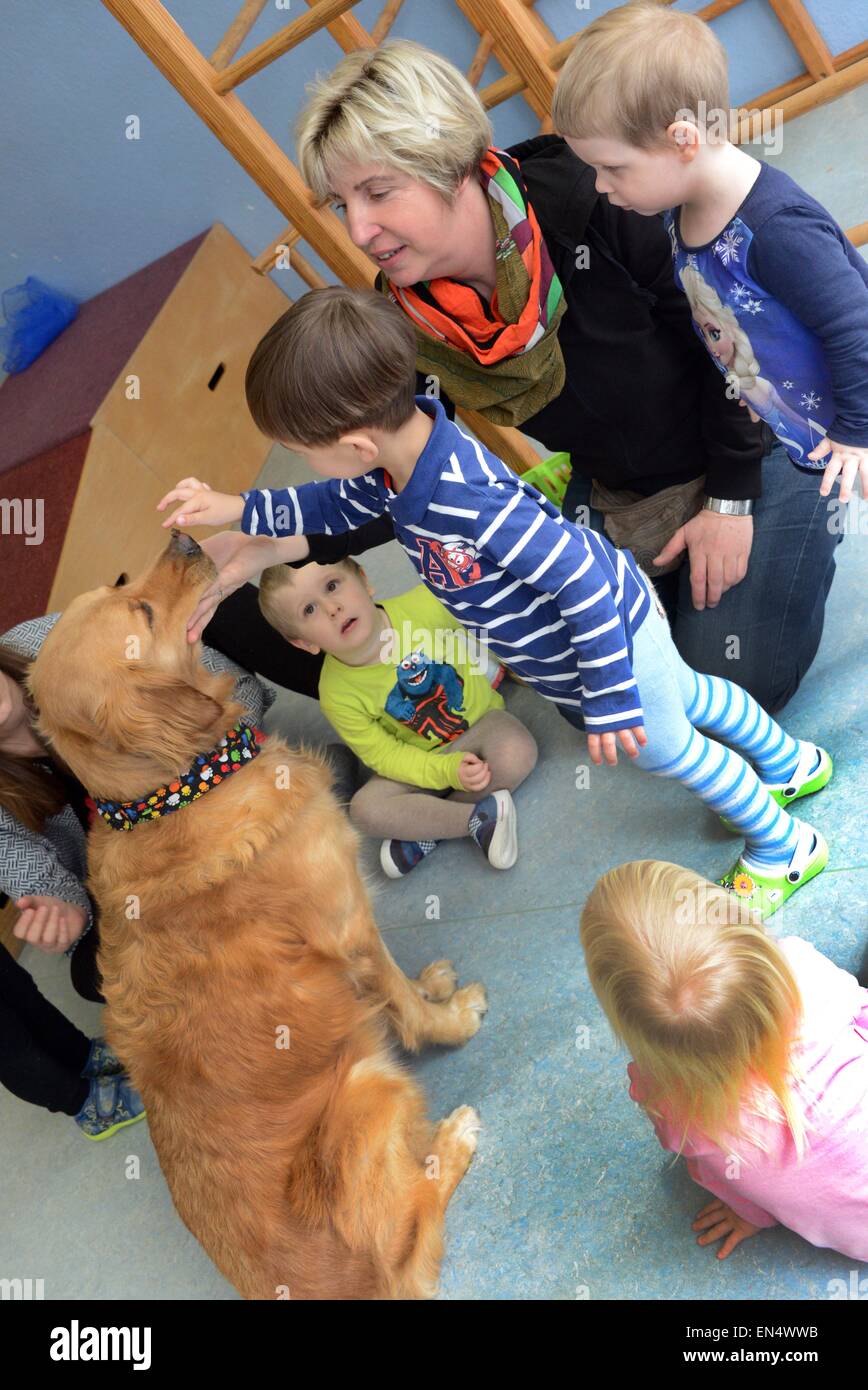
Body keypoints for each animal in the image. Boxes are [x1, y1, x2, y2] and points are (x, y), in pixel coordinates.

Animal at [27, 530, 489, 1301]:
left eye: (121, 585)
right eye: (142, 611)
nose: (185, 537)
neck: (178, 790)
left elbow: (399, 984)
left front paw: (434, 983)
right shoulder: (346, 923)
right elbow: (401, 1003)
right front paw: (448, 1016)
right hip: (368, 1087)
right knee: (414, 1230)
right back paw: (453, 1141)